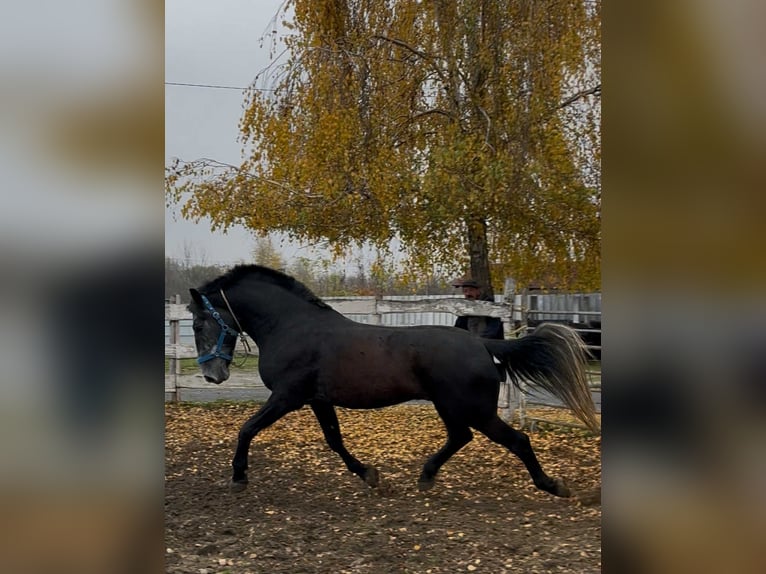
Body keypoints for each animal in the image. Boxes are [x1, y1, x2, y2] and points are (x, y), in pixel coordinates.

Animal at [188, 265, 599, 497]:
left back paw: (554, 486)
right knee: (461, 437)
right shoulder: (318, 399)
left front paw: (238, 477)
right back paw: (426, 477)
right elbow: (334, 441)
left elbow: (247, 428)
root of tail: (482, 343)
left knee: (516, 440)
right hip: (450, 406)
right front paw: (370, 475)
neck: (293, 327)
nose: (212, 374)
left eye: (198, 323)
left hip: (473, 408)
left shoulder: (287, 396)